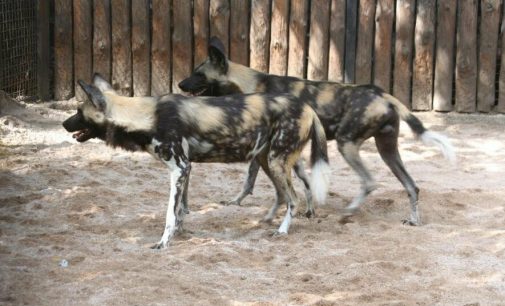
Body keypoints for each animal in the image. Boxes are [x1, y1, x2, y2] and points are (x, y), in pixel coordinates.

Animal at [63, 74, 328, 249]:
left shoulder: (179, 168)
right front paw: (181, 233)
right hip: (269, 160)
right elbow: (181, 209)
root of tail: (308, 107)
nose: (64, 124)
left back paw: (282, 230)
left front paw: (164, 242)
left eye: (79, 112)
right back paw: (289, 216)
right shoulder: (185, 169)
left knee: (292, 197)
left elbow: (170, 213)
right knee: (292, 190)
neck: (147, 117)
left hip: (275, 162)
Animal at [179, 37, 454, 226]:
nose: (180, 84)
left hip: (347, 143)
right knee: (411, 186)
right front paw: (306, 211)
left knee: (369, 181)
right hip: (387, 150)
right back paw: (414, 220)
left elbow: (253, 179)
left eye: (198, 74)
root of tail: (383, 93)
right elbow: (297, 181)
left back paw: (349, 210)